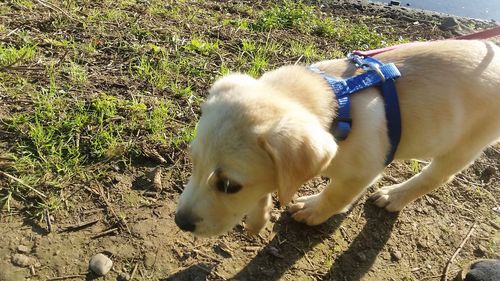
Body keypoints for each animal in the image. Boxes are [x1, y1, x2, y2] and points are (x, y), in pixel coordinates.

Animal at [175, 40, 500, 236]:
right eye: (194, 163)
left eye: (229, 186)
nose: (180, 222)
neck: (338, 104)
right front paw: (259, 216)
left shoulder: (362, 171)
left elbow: (335, 195)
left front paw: (312, 210)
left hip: (467, 144)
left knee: (436, 176)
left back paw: (395, 195)